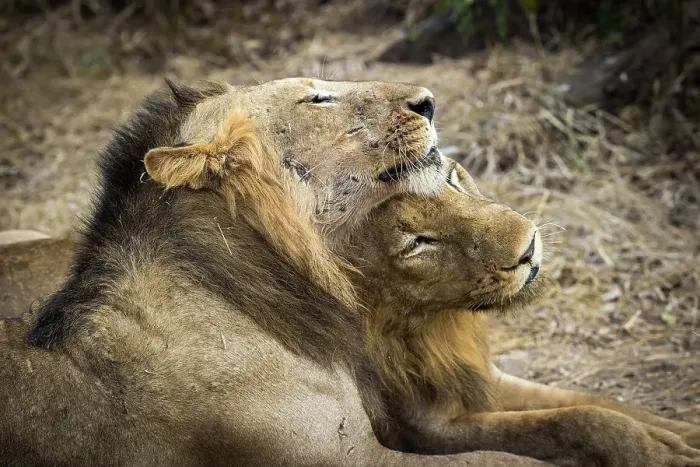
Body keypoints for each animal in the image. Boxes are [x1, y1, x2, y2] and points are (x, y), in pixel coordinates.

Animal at [340, 158, 700, 466]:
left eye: (452, 179)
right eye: (418, 243)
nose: (528, 249)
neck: (439, 324)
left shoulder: (485, 377)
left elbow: (601, 403)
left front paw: (683, 434)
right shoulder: (426, 429)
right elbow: (570, 420)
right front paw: (661, 454)